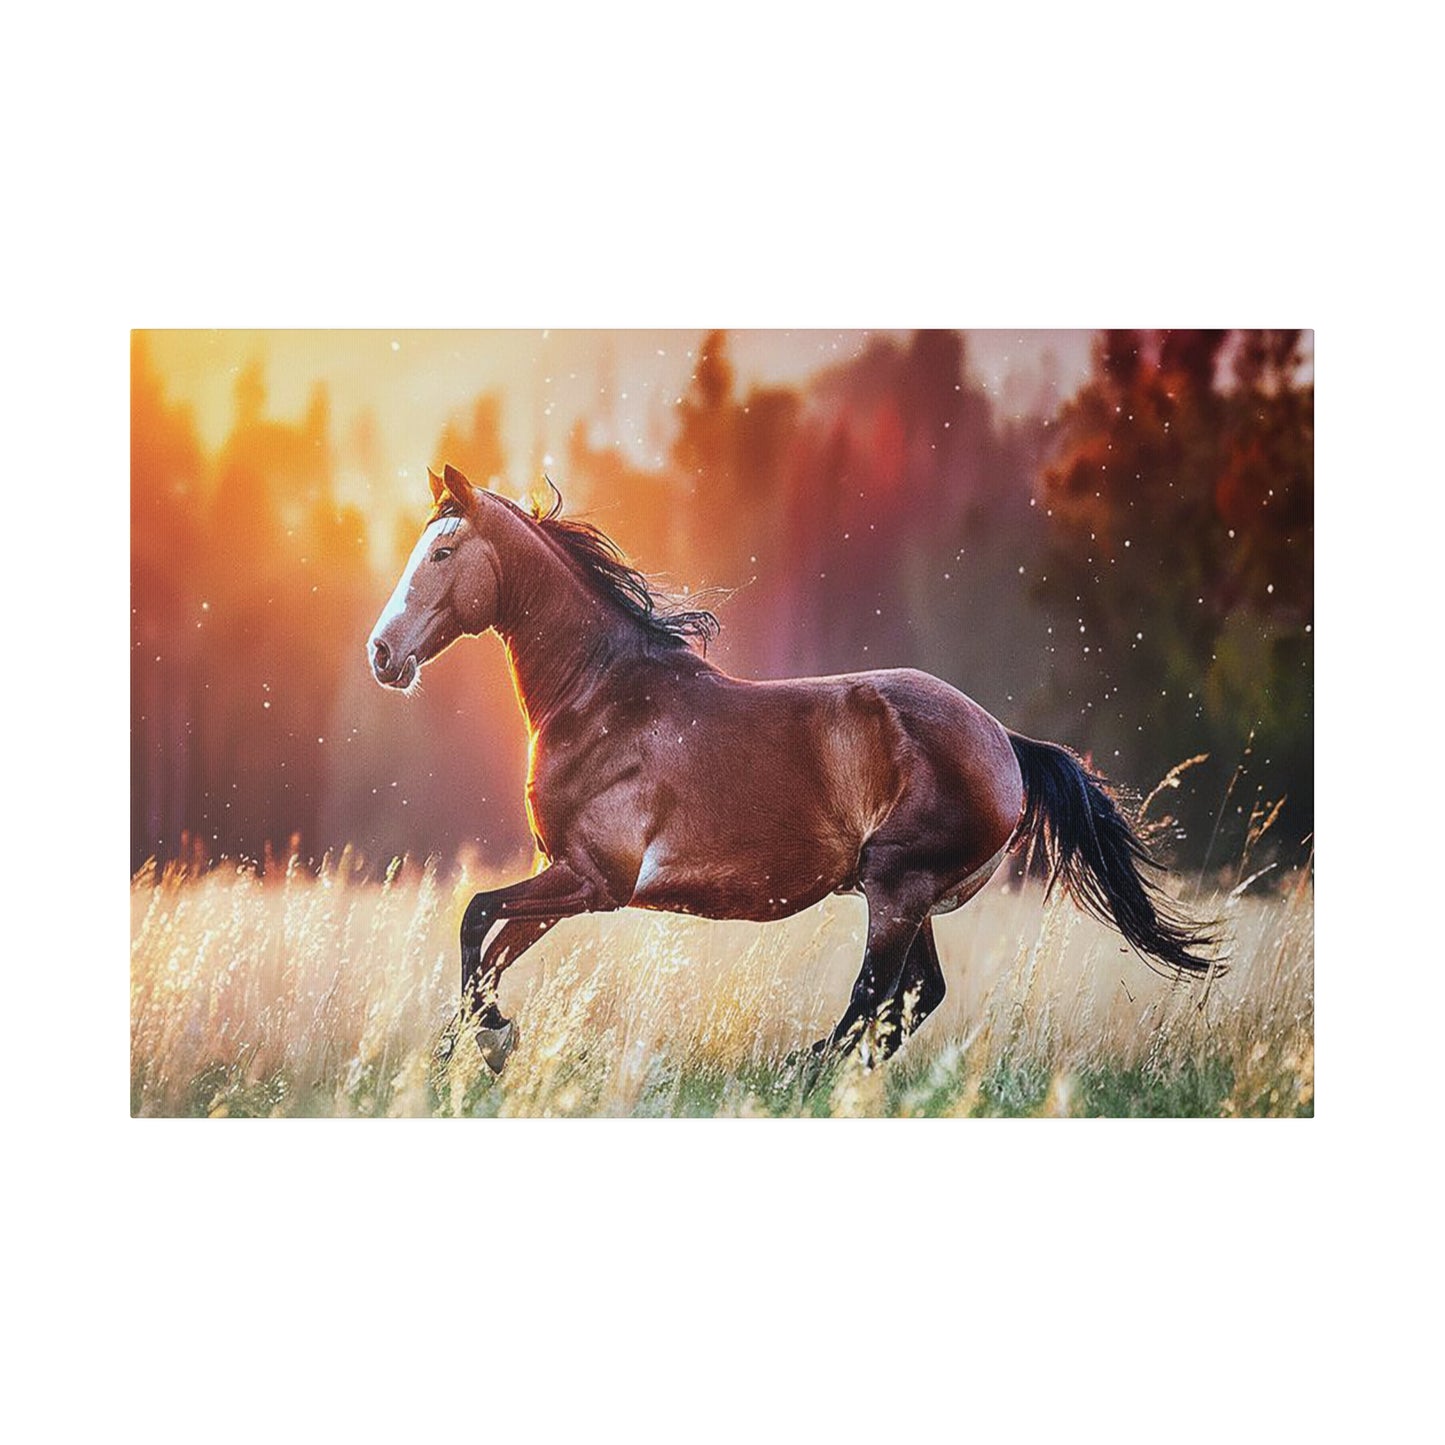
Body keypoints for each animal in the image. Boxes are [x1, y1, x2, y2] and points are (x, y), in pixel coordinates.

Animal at [367, 465, 1213, 1075]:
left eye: (443, 553)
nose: (381, 654)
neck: (600, 694)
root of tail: (1003, 740)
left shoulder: (595, 880)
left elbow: (473, 916)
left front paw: (490, 1043)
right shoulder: (564, 879)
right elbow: (486, 956)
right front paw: (469, 1050)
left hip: (895, 884)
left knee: (879, 993)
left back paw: (798, 1069)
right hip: (910, 895)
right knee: (912, 997)